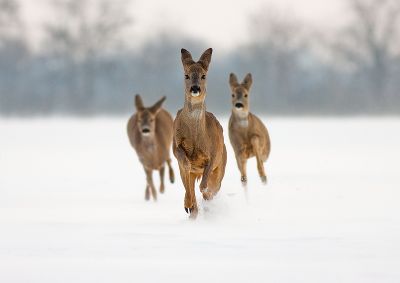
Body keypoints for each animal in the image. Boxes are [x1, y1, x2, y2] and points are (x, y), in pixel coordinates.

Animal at [173, 47, 227, 219]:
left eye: (204, 75)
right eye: (186, 75)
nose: (195, 88)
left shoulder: (214, 155)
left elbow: (204, 186)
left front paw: (205, 199)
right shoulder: (175, 146)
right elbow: (185, 163)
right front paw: (189, 205)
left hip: (221, 165)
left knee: (212, 187)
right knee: (189, 185)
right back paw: (191, 208)